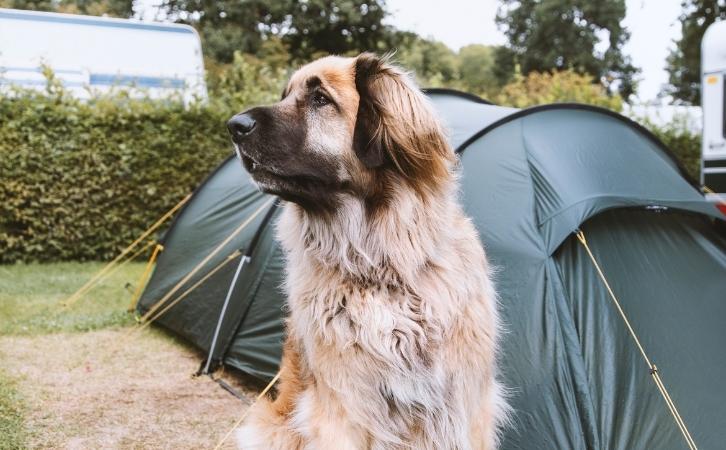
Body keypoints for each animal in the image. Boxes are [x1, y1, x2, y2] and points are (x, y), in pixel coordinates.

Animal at [230, 53, 510, 450]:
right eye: (285, 95)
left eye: (319, 99)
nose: (234, 125)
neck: (380, 270)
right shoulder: (344, 409)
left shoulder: (463, 410)